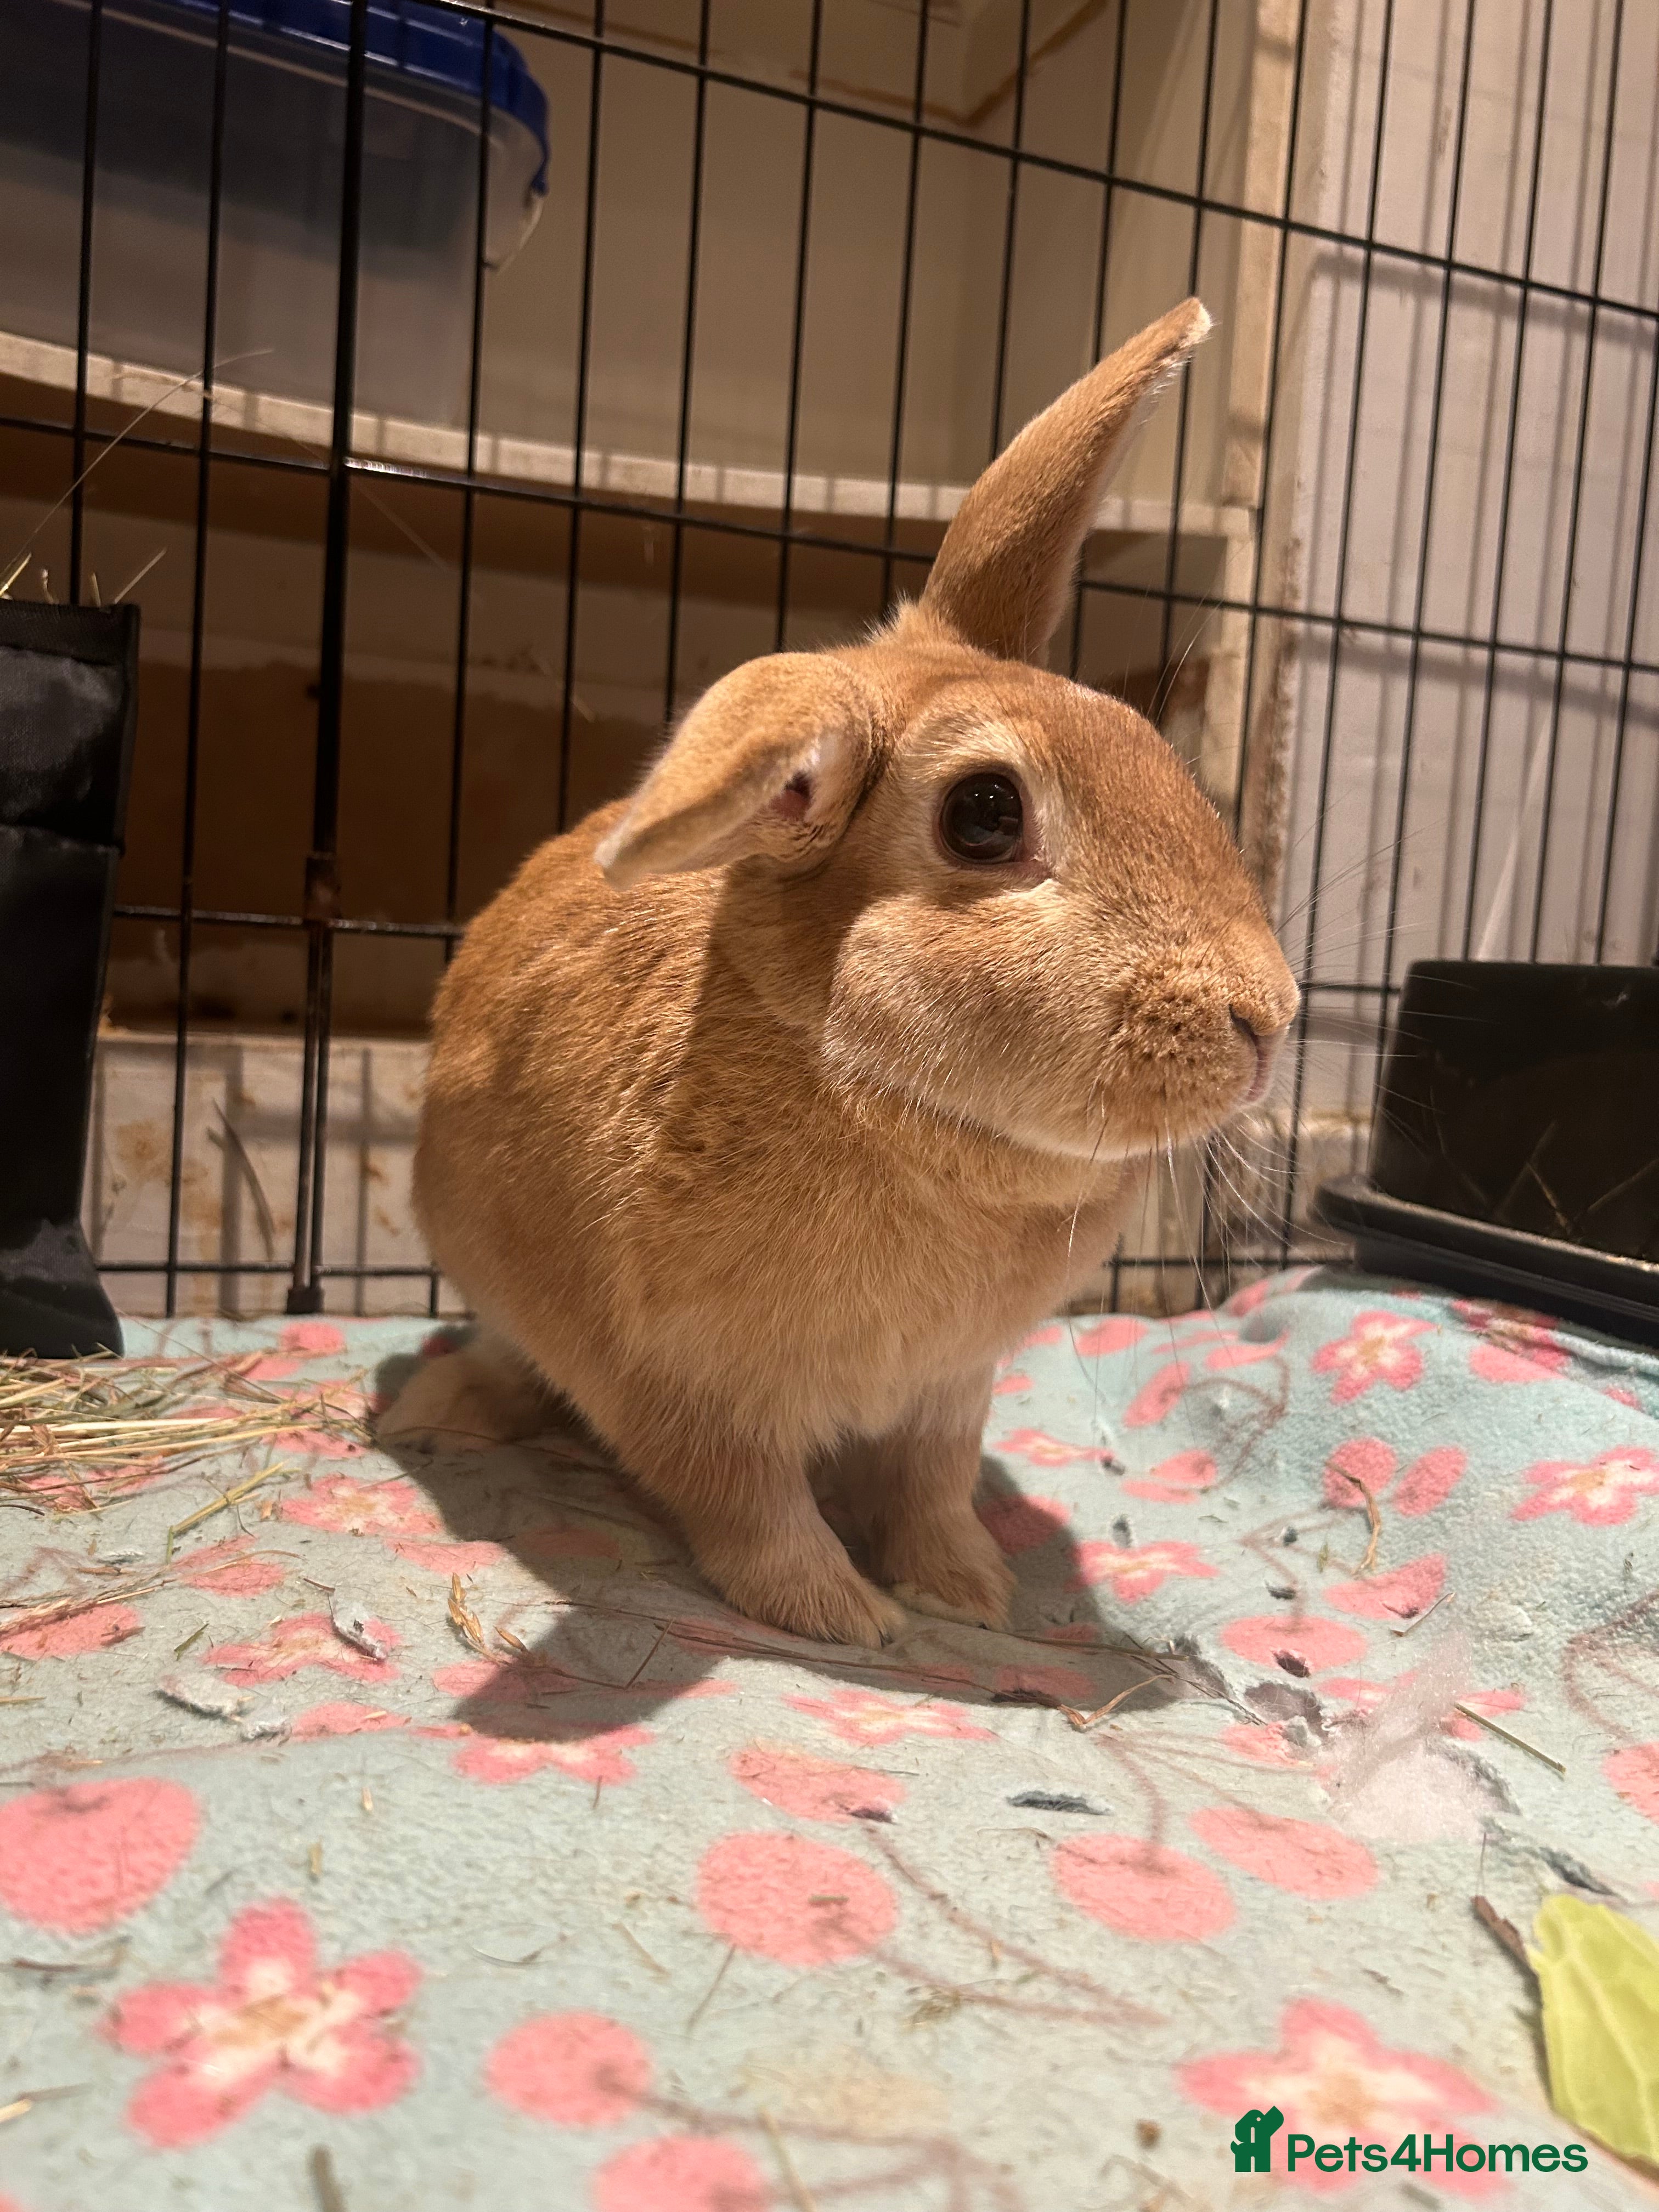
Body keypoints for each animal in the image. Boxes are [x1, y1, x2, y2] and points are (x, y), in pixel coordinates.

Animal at [381, 296, 1299, 1647]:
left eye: (1151, 745)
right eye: (984, 815)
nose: (1269, 1016)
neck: (896, 1112)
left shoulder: (949, 1391)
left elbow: (931, 1486)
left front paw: (966, 1591)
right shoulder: (684, 1388)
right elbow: (751, 1508)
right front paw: (847, 1616)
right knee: (505, 1354)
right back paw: (435, 1416)